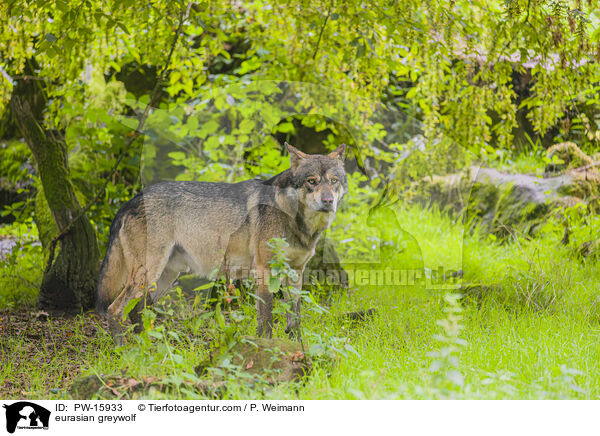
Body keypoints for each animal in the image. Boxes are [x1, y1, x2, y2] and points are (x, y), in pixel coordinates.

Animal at [94, 143, 346, 344]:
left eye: (334, 181)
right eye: (311, 181)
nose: (328, 201)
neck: (295, 219)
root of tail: (130, 200)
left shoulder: (295, 272)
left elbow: (295, 318)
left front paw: (297, 347)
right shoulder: (264, 271)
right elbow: (266, 319)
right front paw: (267, 348)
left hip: (164, 278)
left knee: (138, 310)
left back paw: (146, 347)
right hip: (149, 274)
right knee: (115, 309)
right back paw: (123, 349)